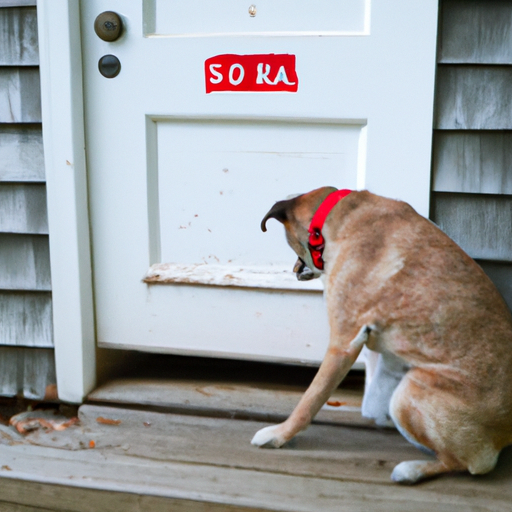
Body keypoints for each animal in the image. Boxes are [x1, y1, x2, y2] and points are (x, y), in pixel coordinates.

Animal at [252, 187, 512, 484]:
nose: (295, 270)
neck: (336, 214)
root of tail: (505, 433)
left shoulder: (343, 342)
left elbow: (310, 400)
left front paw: (279, 435)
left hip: (408, 394)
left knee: (467, 463)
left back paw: (411, 470)